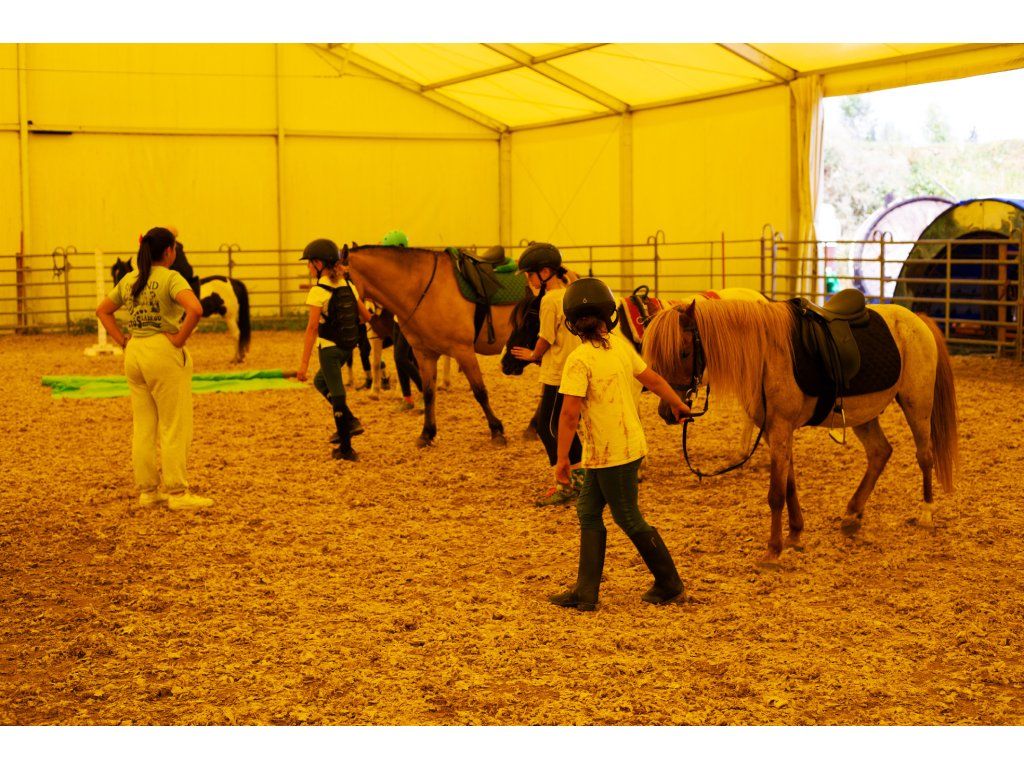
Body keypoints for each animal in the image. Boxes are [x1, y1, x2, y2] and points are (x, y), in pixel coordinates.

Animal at [111, 257, 252, 363]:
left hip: (230, 316)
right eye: (113, 274)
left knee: (236, 334)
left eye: (122, 272)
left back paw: (235, 359)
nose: (116, 289)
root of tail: (233, 281)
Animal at [342, 244, 520, 447]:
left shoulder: (463, 351)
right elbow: (428, 393)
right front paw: (427, 433)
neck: (424, 288)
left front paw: (496, 430)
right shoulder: (425, 354)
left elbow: (480, 391)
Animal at [642, 297, 960, 566]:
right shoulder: (774, 432)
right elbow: (789, 485)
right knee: (880, 453)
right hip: (865, 415)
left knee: (924, 455)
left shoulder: (781, 428)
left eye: (684, 352)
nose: (668, 412)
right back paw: (852, 514)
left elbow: (776, 493)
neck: (766, 354)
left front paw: (773, 550)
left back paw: (926, 512)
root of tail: (916, 319)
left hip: (917, 405)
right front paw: (794, 533)